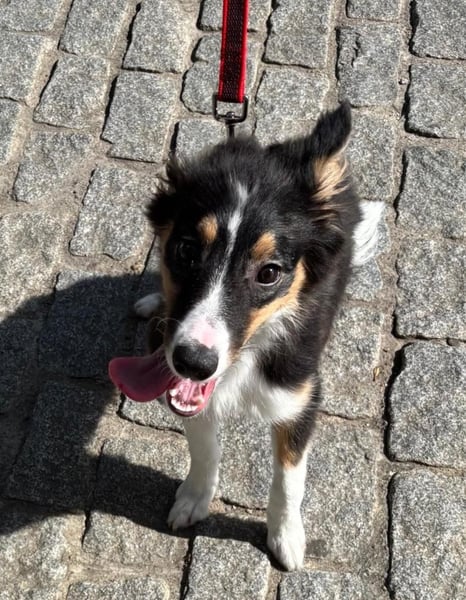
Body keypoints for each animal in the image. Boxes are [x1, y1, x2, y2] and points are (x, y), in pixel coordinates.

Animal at [109, 102, 383, 570]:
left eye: (269, 273)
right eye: (186, 250)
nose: (193, 362)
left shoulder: (301, 399)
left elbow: (289, 480)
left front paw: (286, 537)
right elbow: (204, 449)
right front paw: (194, 499)